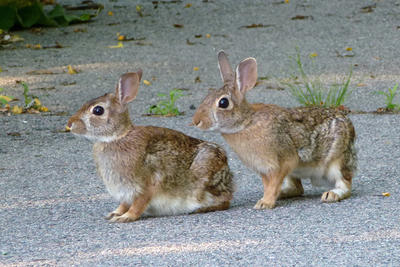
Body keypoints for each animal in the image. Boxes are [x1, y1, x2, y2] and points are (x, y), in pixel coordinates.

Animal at [66, 70, 234, 223]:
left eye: (98, 110)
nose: (70, 124)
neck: (117, 137)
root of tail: (228, 175)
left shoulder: (146, 185)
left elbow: (138, 204)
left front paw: (125, 217)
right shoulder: (125, 192)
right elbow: (124, 204)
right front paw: (114, 214)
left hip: (205, 174)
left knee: (225, 200)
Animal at [192, 51, 358, 211]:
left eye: (223, 103)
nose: (196, 121)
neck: (246, 122)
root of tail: (348, 124)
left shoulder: (282, 162)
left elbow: (273, 184)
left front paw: (264, 203)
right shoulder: (264, 169)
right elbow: (268, 185)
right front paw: (265, 200)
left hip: (336, 161)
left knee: (345, 183)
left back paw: (331, 195)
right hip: (294, 173)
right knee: (298, 188)